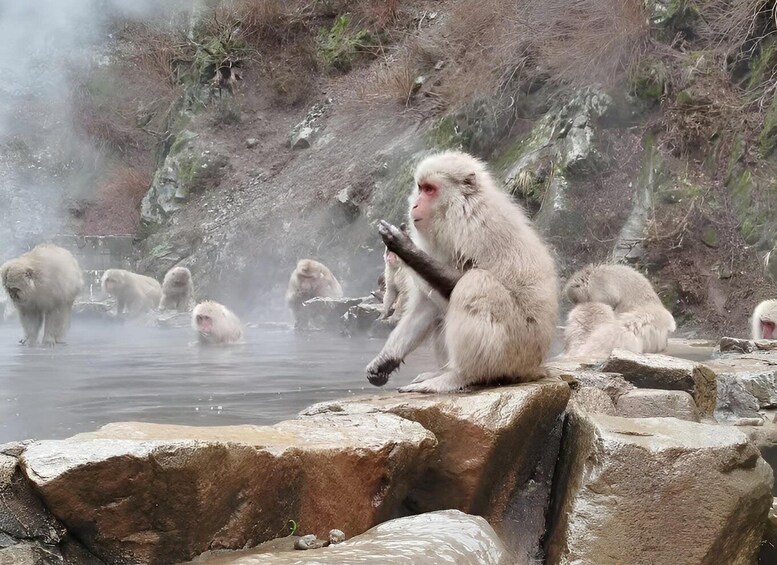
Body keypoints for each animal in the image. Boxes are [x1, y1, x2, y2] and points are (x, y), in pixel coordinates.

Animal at [366, 150, 559, 394]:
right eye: (420, 188)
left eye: (430, 190)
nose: (415, 205)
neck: (455, 210)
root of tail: (536, 366)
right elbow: (426, 306)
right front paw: (385, 360)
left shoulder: (475, 230)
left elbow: (459, 281)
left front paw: (406, 249)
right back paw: (442, 371)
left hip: (516, 349)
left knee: (475, 284)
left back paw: (459, 376)